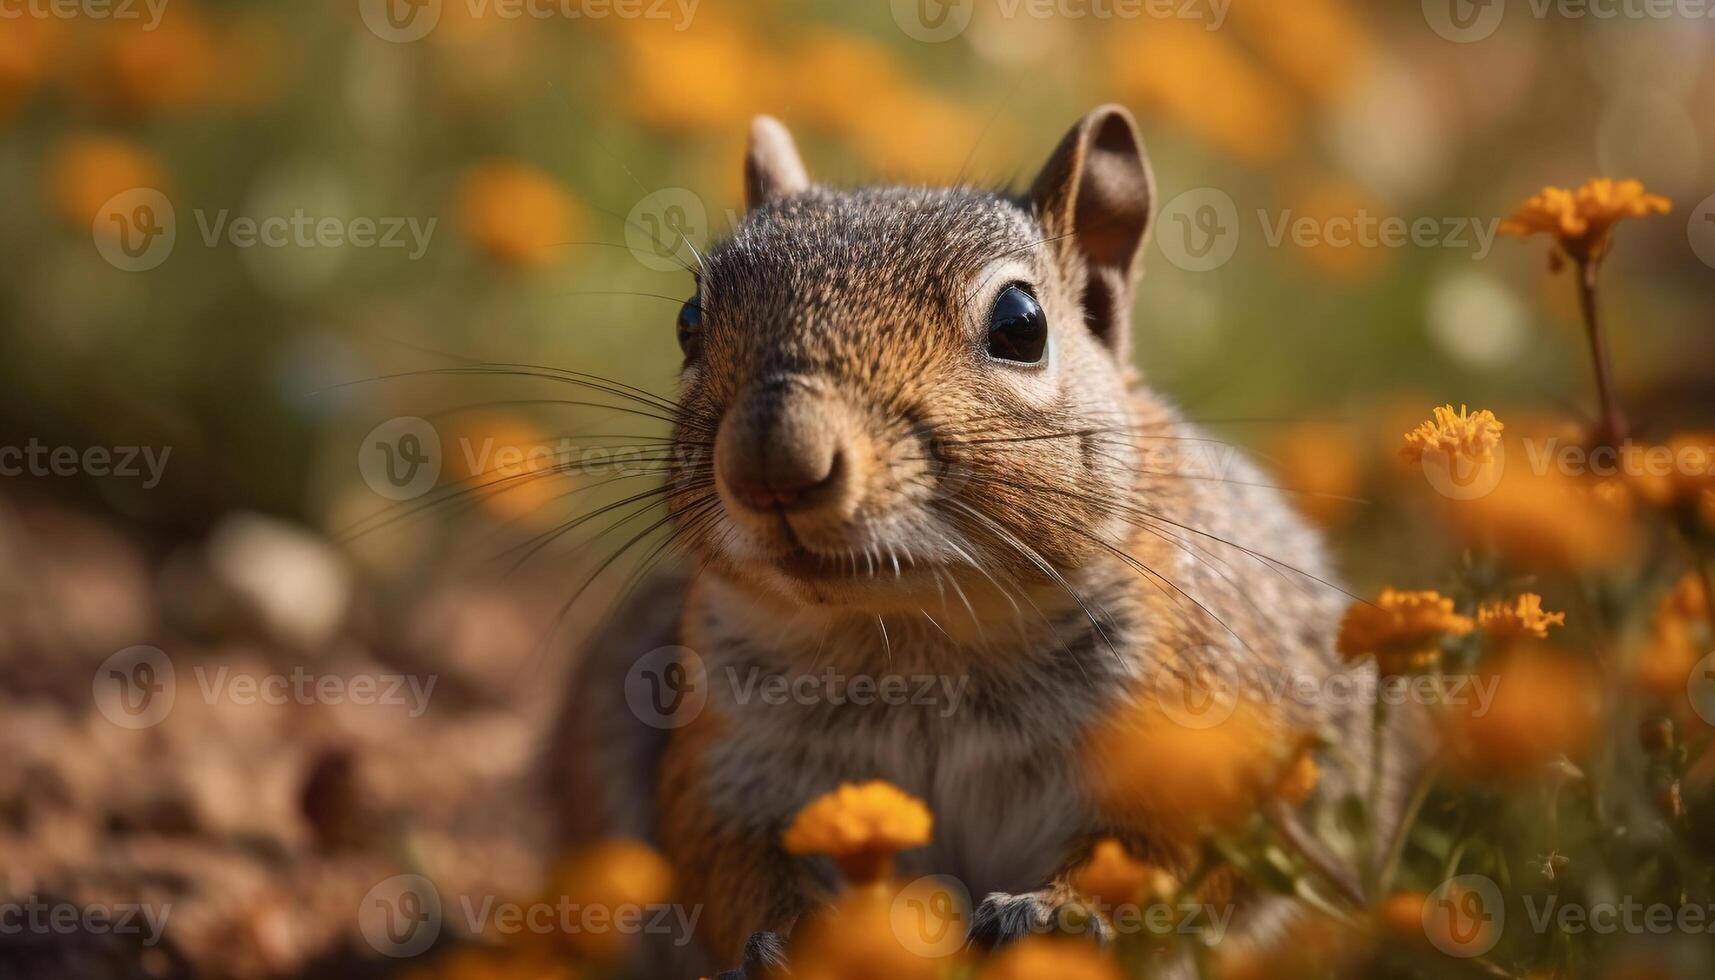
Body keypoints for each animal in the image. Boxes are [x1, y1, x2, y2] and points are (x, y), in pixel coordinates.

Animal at [545, 103, 1406, 974]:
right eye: (689, 322)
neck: (916, 633)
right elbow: (725, 860)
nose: (773, 462)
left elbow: (1169, 857)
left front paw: (1055, 917)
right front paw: (802, 945)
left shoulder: (1197, 720)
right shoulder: (728, 761)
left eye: (1020, 325)